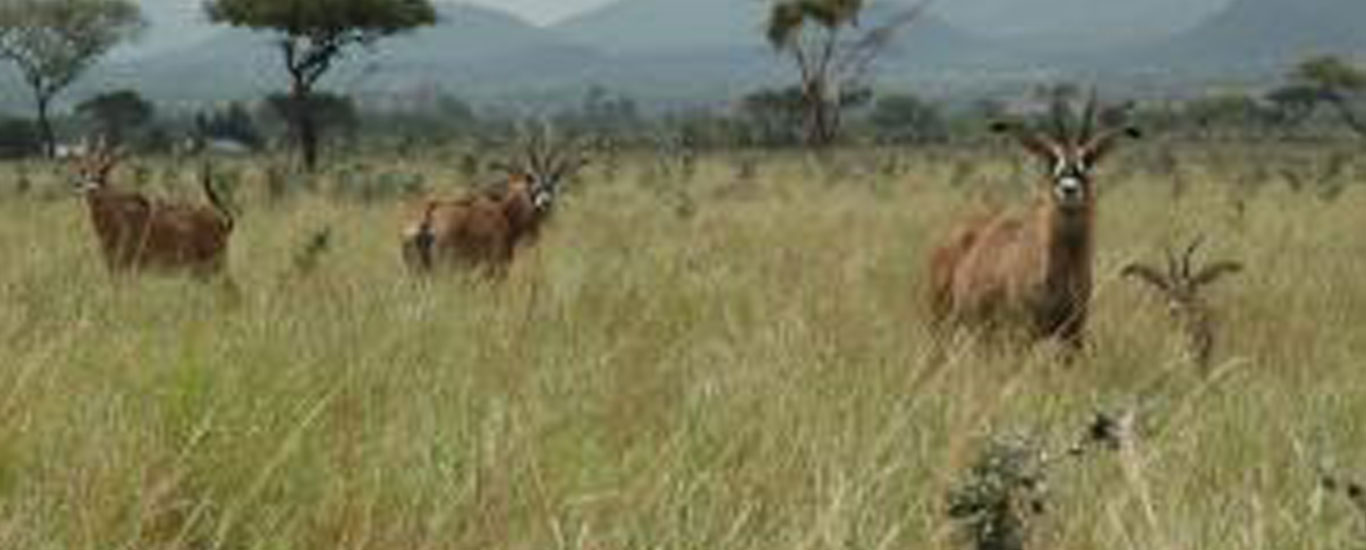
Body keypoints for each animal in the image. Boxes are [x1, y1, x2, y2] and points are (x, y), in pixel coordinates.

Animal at [75, 143, 236, 279]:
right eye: (83, 170)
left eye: (103, 171)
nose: (92, 189)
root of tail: (222, 222)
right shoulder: (115, 266)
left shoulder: (130, 267)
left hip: (214, 266)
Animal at [398, 131, 584, 275]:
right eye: (532, 184)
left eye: (551, 185)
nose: (545, 203)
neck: (505, 211)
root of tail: (428, 219)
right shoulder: (497, 269)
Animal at [928, 96, 1141, 352]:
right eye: (1052, 160)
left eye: (1088, 160)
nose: (1069, 190)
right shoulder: (1027, 332)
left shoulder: (1073, 333)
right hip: (943, 325)